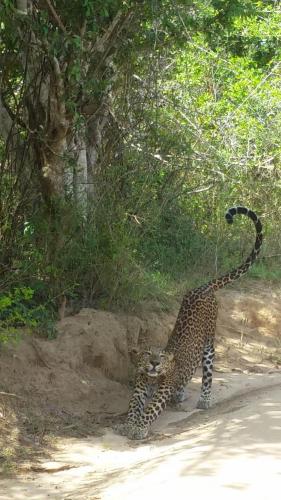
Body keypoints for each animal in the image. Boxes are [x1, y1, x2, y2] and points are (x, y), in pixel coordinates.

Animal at [115, 205, 262, 440]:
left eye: (162, 357)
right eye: (147, 353)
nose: (154, 363)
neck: (153, 378)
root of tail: (203, 287)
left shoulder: (163, 389)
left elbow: (150, 409)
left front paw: (139, 428)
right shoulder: (139, 388)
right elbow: (134, 407)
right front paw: (128, 425)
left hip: (209, 345)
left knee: (207, 375)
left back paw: (204, 400)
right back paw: (181, 394)